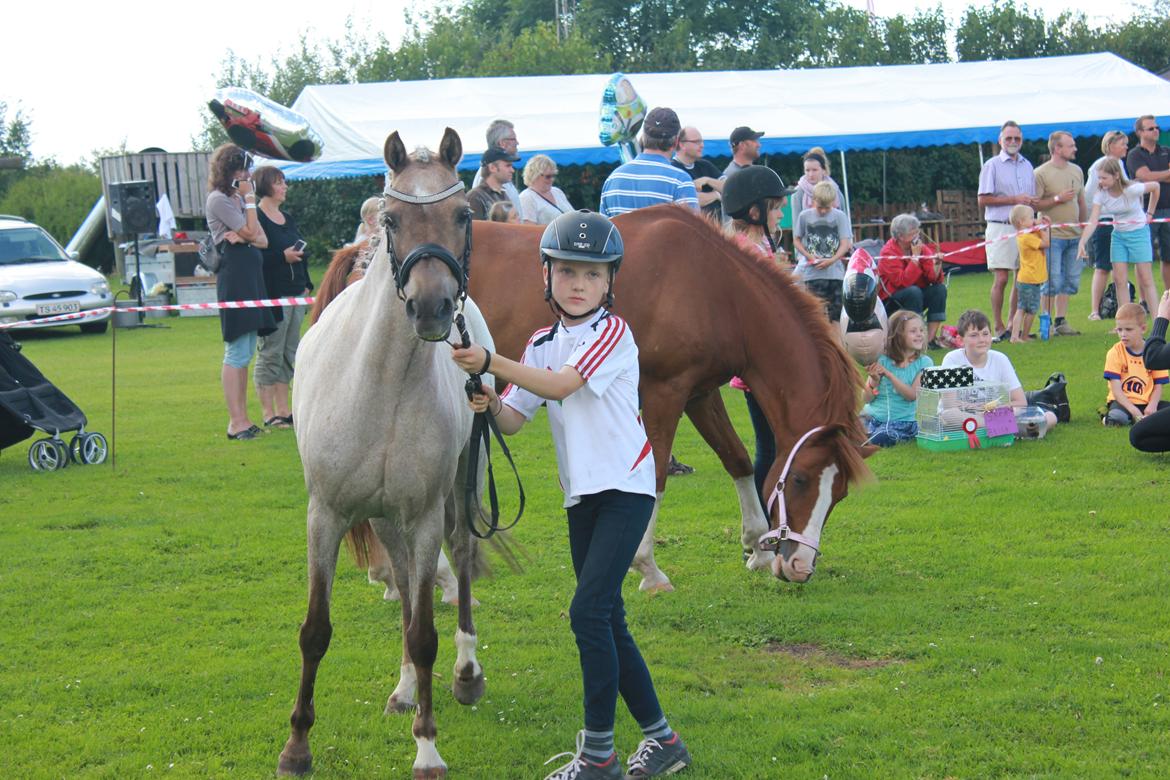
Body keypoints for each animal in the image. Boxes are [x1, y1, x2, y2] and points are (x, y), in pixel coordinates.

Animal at [278, 128, 485, 779]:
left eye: (463, 214)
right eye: (391, 219)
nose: (432, 308)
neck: (383, 383)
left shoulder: (423, 518)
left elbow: (425, 635)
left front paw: (427, 746)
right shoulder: (327, 514)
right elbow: (314, 631)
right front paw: (297, 746)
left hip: (456, 491)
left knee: (460, 560)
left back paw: (466, 674)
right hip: (387, 520)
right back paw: (402, 689)